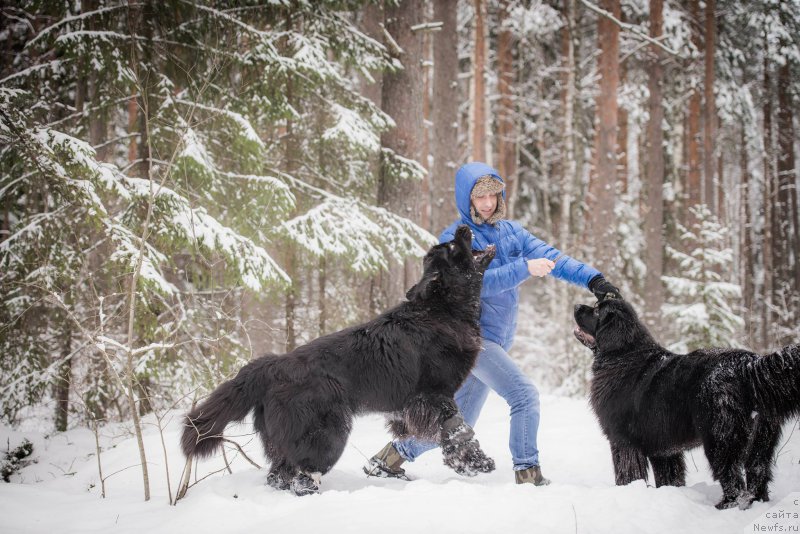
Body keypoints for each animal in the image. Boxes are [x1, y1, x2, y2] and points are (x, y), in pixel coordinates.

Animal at [182, 226, 496, 498]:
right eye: (454, 248)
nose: (464, 227)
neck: (443, 310)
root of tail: (273, 366)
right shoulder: (434, 396)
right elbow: (458, 430)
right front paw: (476, 463)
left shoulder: (412, 406)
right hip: (328, 433)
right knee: (302, 475)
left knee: (279, 474)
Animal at [576, 300, 800, 512]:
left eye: (597, 310)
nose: (577, 306)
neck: (621, 355)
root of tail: (748, 364)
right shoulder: (664, 450)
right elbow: (670, 478)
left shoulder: (623, 442)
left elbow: (626, 474)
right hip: (761, 440)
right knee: (757, 474)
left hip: (720, 440)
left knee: (734, 482)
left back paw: (724, 506)